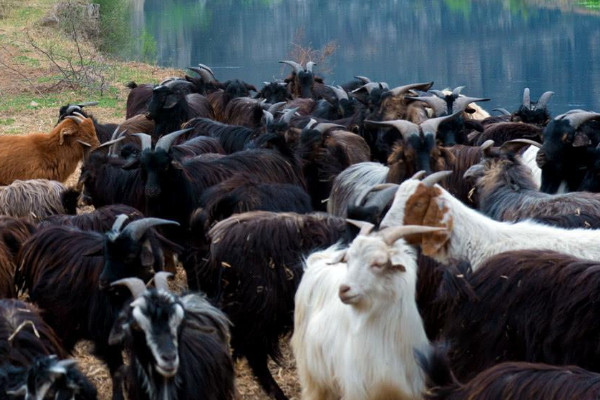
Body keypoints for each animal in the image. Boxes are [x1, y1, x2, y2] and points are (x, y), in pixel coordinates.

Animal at [292, 223, 442, 398]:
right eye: (347, 261)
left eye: (378, 263)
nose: (343, 289)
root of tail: (317, 260)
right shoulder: (358, 388)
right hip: (310, 370)